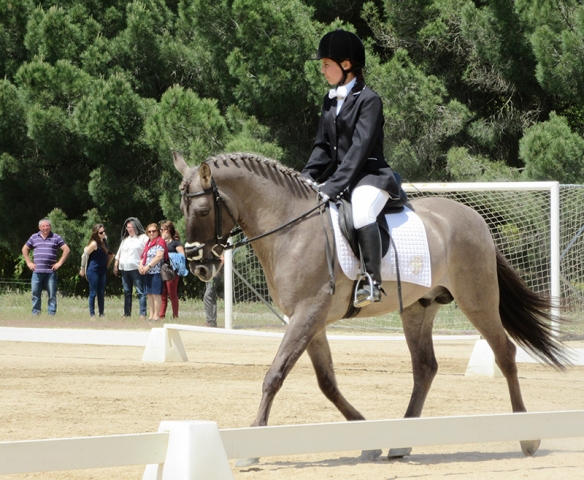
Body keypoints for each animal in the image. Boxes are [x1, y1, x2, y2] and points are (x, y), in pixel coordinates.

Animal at [172, 152, 564, 464]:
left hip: (477, 299)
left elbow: (275, 375)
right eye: (182, 209)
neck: (290, 229)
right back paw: (401, 444)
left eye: (203, 210)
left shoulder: (307, 314)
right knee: (425, 367)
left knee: (505, 354)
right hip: (419, 307)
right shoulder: (311, 320)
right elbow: (327, 382)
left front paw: (254, 443)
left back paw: (527, 437)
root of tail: (475, 218)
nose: (199, 267)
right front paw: (367, 439)